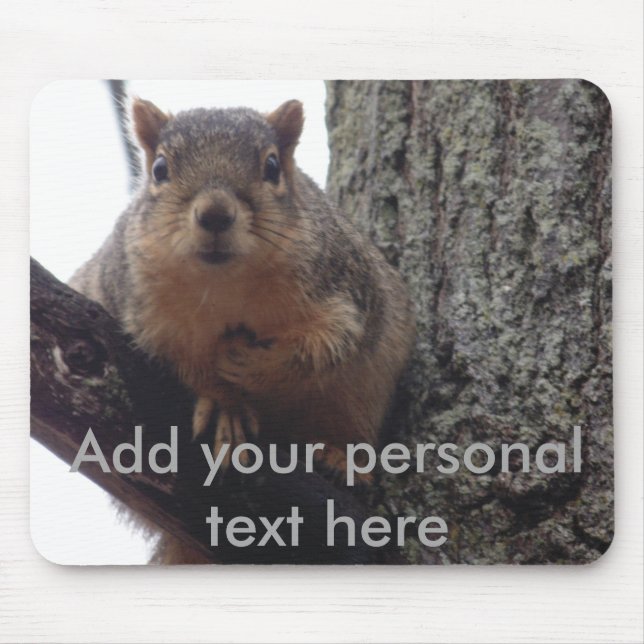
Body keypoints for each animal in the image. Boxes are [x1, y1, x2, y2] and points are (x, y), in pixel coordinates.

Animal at [69, 97, 416, 563]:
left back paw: (340, 457)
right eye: (159, 169)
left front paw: (250, 364)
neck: (224, 285)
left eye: (272, 166)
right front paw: (224, 403)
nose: (215, 214)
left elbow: (325, 346)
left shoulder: (345, 292)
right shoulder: (143, 313)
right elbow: (183, 362)